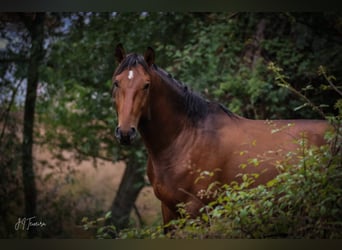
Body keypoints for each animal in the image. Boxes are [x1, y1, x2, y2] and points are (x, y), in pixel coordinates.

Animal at [111, 44, 330, 227]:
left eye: (146, 85)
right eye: (116, 83)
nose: (125, 133)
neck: (183, 139)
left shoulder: (196, 210)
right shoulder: (169, 211)